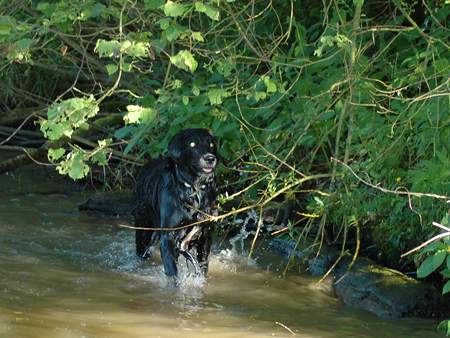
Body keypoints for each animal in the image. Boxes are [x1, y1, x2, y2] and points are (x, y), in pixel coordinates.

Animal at [134, 128, 218, 278]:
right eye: (192, 144)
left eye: (211, 145)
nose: (210, 158)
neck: (193, 188)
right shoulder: (168, 235)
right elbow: (172, 272)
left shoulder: (205, 233)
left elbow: (203, 266)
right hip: (143, 226)